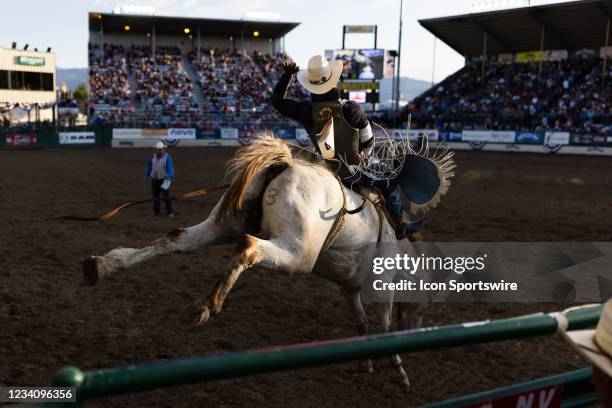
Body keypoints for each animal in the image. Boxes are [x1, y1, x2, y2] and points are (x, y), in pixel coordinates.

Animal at [82, 136, 454, 388]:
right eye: (427, 303)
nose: (418, 332)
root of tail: (284, 165)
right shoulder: (381, 285)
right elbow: (384, 327)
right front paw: (398, 368)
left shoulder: (348, 287)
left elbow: (361, 323)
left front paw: (365, 364)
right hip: (295, 253)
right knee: (249, 247)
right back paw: (206, 305)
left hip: (224, 224)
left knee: (176, 240)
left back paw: (102, 265)